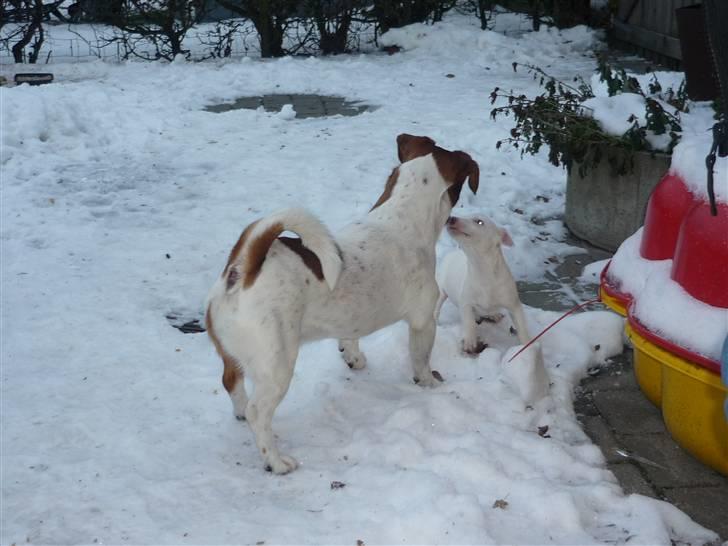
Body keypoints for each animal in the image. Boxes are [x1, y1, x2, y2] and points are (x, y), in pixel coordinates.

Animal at [206, 133, 478, 472]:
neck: (401, 216)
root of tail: (242, 271)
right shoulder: (423, 321)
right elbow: (421, 360)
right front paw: (429, 383)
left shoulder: (351, 319)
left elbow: (350, 337)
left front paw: (353, 358)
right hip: (277, 366)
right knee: (260, 412)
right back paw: (277, 461)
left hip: (233, 356)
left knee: (231, 382)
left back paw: (241, 413)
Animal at [436, 215, 532, 354]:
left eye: (479, 222)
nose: (451, 218)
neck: (482, 270)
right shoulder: (466, 302)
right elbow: (469, 322)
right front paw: (470, 342)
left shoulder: (514, 304)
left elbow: (521, 324)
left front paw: (527, 345)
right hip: (441, 290)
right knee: (437, 307)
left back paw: (493, 314)